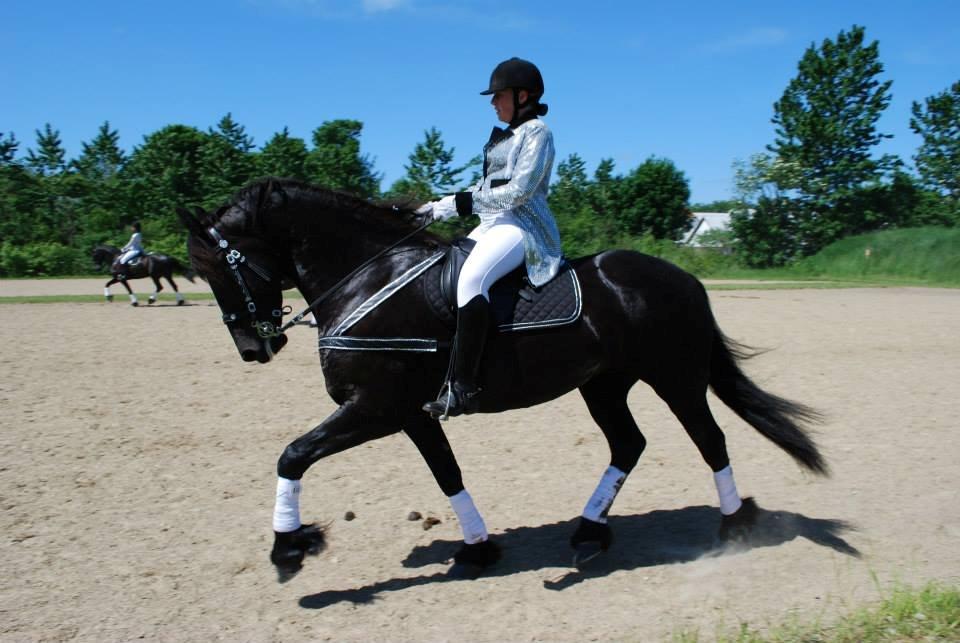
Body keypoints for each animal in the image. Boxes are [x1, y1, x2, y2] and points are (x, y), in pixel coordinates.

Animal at [178, 177, 824, 584]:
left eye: (217, 267)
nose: (253, 349)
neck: (367, 278)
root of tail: (683, 277)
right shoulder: (411, 414)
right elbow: (448, 475)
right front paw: (479, 549)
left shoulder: (376, 408)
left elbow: (292, 455)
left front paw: (289, 547)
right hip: (604, 384)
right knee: (628, 444)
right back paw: (589, 533)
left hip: (675, 377)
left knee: (710, 440)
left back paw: (735, 525)